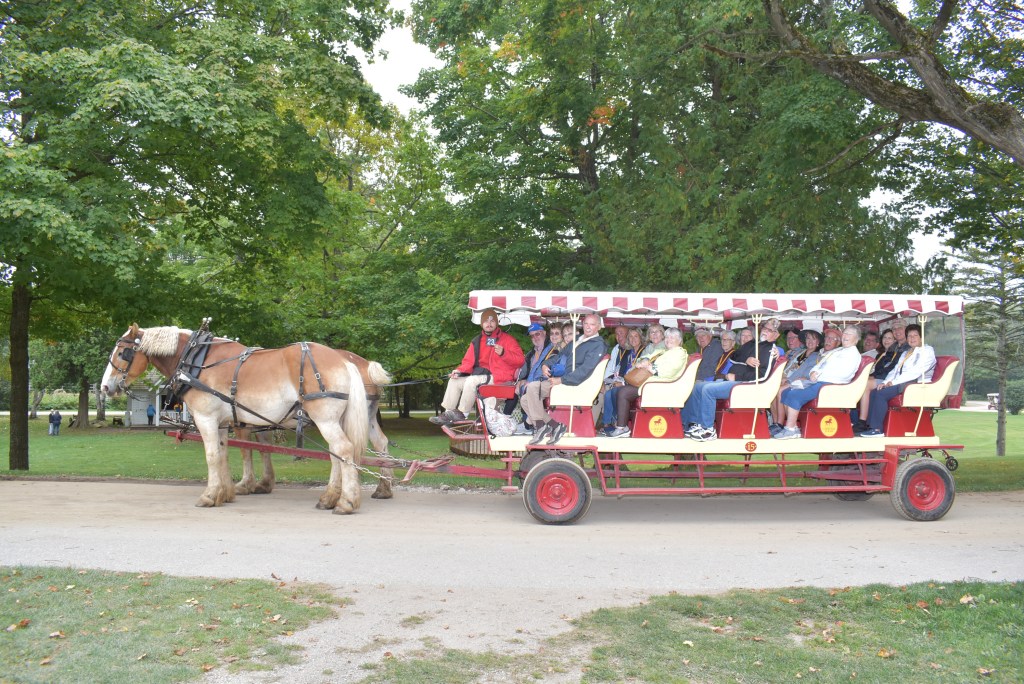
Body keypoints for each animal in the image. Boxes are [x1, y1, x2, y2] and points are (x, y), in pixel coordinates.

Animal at [101, 324, 369, 514]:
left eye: (123, 353)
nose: (105, 387)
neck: (196, 361)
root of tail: (342, 360)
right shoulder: (221, 422)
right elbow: (223, 455)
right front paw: (224, 493)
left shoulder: (206, 418)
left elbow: (211, 456)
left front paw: (209, 496)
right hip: (330, 420)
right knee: (336, 455)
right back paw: (329, 498)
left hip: (324, 419)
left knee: (344, 450)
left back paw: (346, 502)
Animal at [234, 352, 396, 499]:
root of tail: (366, 365)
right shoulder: (258, 422)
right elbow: (264, 448)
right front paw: (264, 483)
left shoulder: (241, 423)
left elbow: (245, 449)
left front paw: (244, 484)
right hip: (367, 418)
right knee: (379, 442)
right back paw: (382, 489)